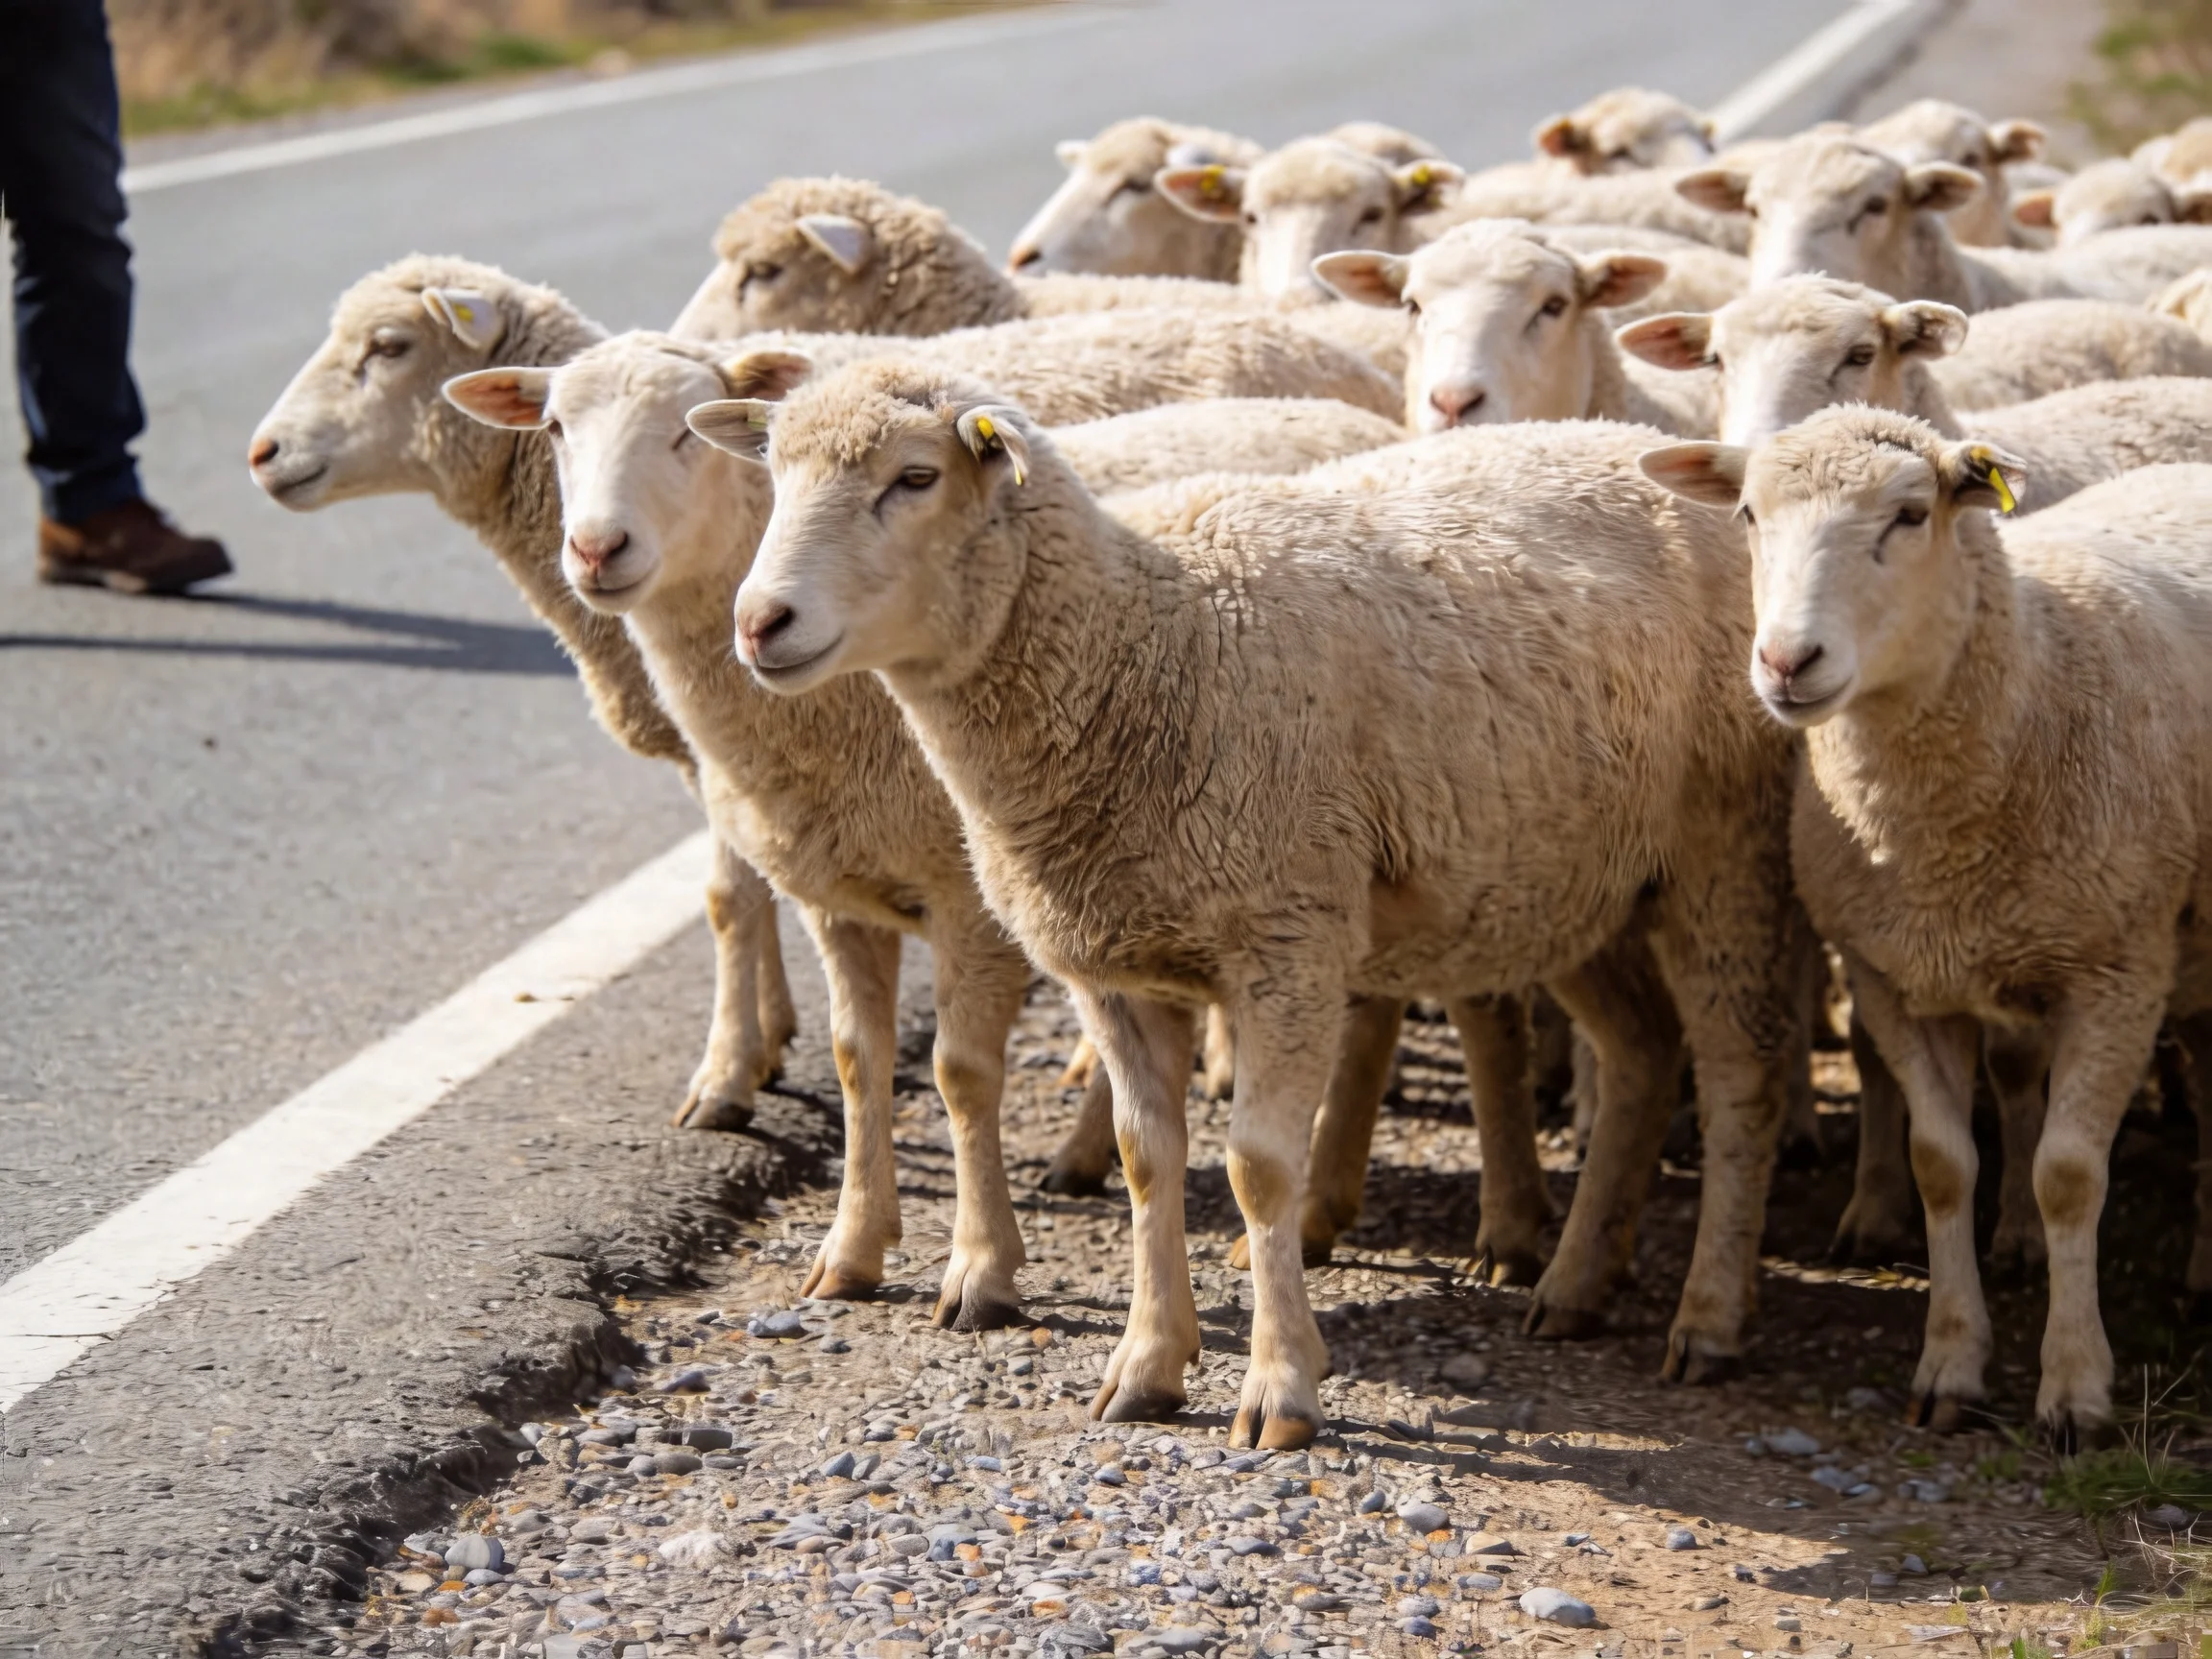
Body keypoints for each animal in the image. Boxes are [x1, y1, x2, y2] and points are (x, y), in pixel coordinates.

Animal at [245, 255, 797, 1129]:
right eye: (555, 427)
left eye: (390, 345)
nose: (263, 453)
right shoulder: (725, 745)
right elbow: (753, 886)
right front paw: (768, 1039)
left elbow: (732, 897)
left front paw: (727, 1073)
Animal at [706, 358, 1804, 1446]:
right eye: (773, 470)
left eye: (916, 478)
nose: (758, 623)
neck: (1151, 643)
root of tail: (1646, 446)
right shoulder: (1115, 968)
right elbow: (1148, 1159)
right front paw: (1148, 1365)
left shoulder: (1287, 940)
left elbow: (1260, 1169)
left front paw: (1281, 1388)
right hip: (1580, 881)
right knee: (1641, 1054)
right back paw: (1577, 1283)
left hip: (1724, 845)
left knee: (1740, 1076)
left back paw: (1709, 1316)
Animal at [1640, 409, 2212, 1440]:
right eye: (1747, 514)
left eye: (1911, 515)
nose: (1786, 663)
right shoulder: (1895, 977)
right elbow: (1942, 1164)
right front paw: (1951, 1366)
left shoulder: (2119, 973)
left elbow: (2070, 1176)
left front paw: (2076, 1388)